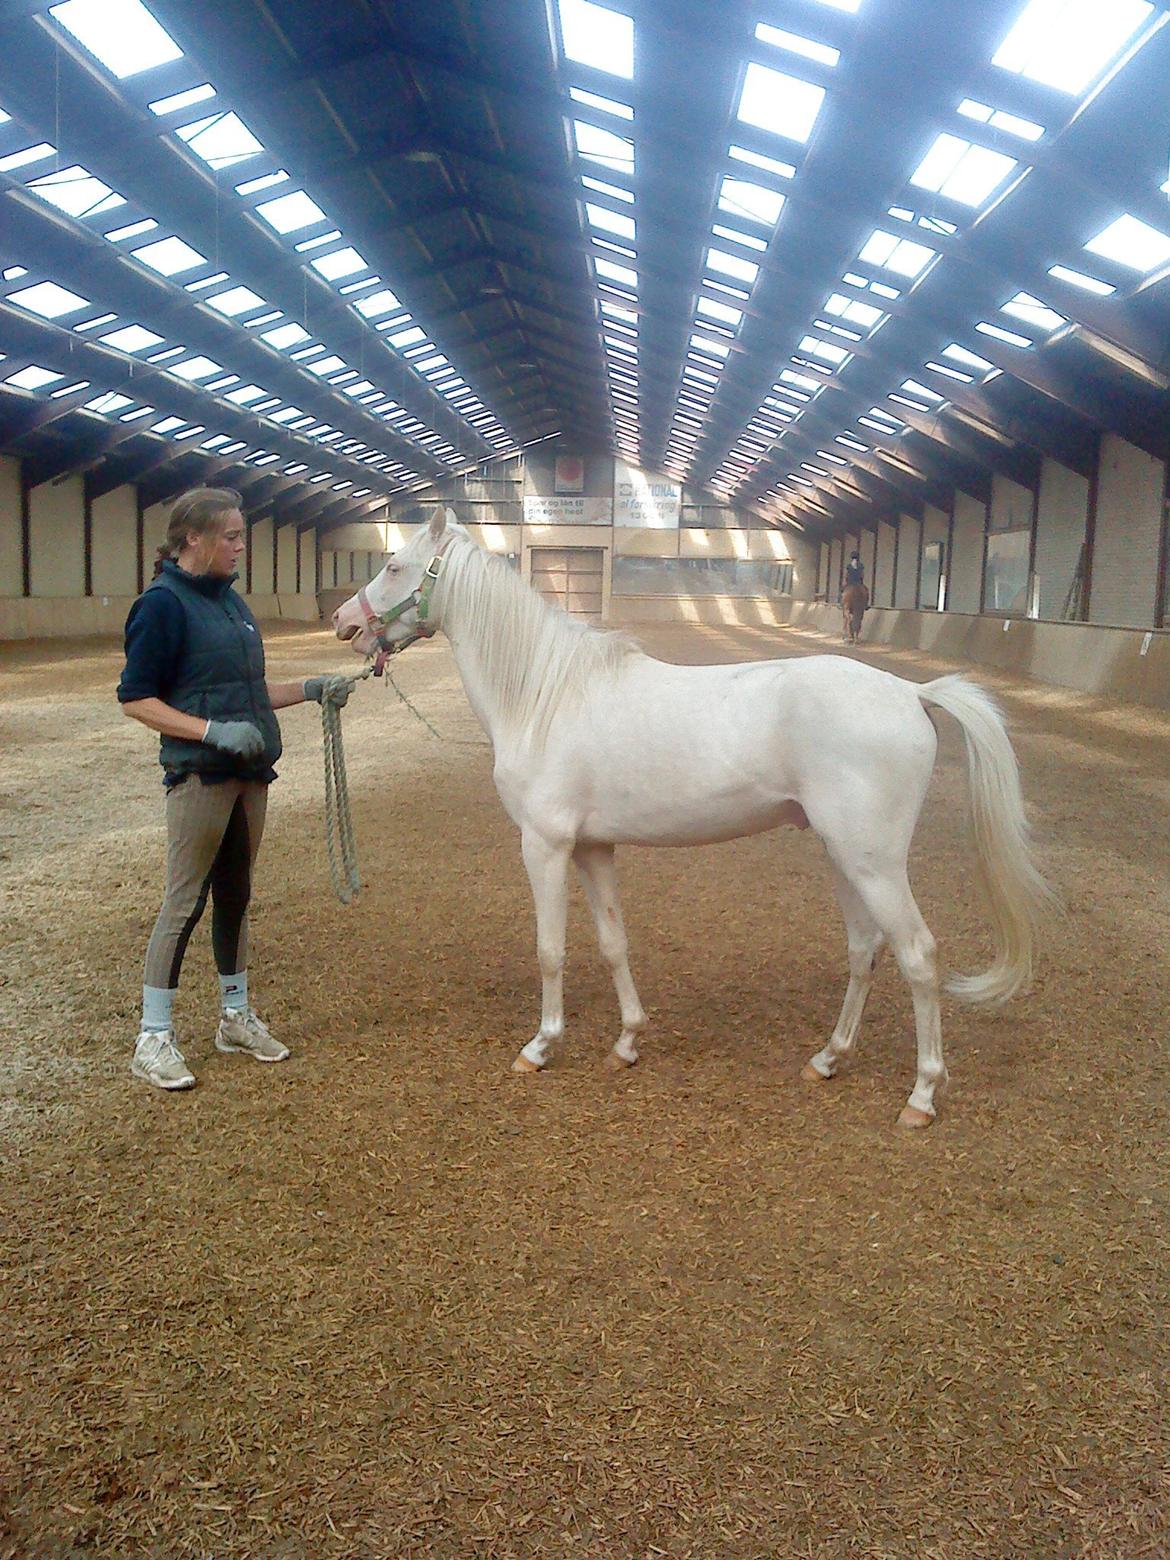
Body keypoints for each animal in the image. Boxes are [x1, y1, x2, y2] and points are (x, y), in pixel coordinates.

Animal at [333, 509, 1052, 1128]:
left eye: (394, 565)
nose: (344, 622)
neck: (543, 696)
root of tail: (911, 692)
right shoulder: (593, 848)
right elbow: (613, 943)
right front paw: (626, 1042)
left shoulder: (545, 845)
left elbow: (550, 951)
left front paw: (540, 1047)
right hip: (845, 856)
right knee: (864, 950)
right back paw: (827, 1060)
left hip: (873, 862)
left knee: (918, 957)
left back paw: (922, 1096)